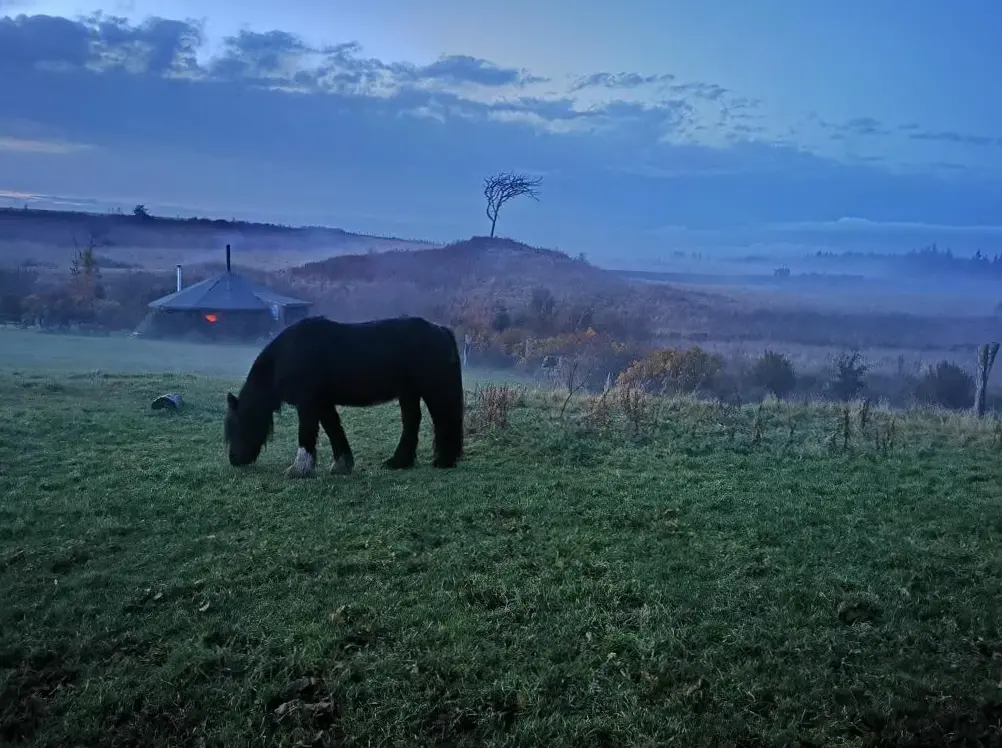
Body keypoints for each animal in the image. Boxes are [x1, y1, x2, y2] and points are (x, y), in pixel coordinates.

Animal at [223, 315, 465, 477]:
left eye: (237, 425)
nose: (234, 459)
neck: (287, 355)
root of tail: (441, 330)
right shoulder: (322, 403)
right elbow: (333, 429)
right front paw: (342, 464)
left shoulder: (308, 403)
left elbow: (307, 433)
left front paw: (298, 469)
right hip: (409, 392)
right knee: (412, 422)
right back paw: (399, 462)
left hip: (434, 391)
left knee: (444, 421)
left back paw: (444, 460)